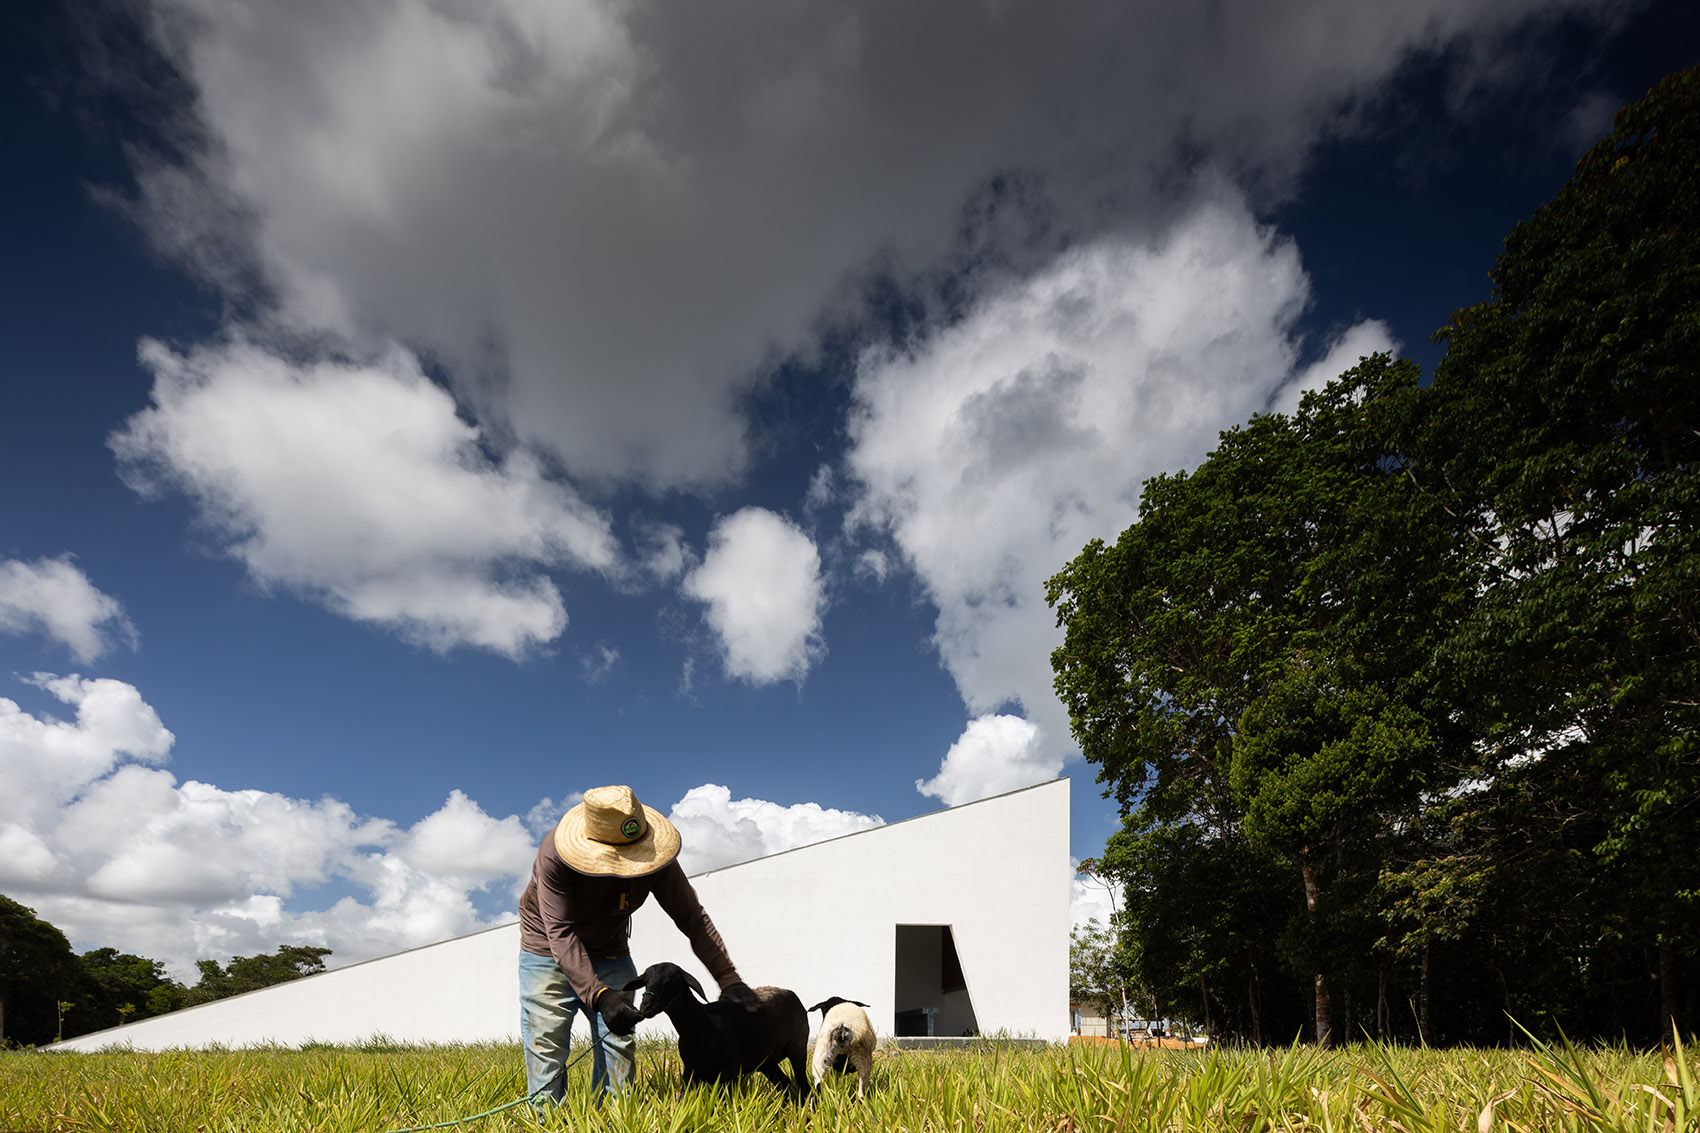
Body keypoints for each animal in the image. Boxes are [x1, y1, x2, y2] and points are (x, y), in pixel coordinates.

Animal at [629, 959, 812, 1095]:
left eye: (669, 982)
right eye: (645, 982)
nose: (645, 1007)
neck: (701, 1025)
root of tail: (791, 994)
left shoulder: (729, 1072)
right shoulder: (690, 1072)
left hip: (797, 1048)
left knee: (805, 1087)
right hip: (767, 1061)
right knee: (785, 1084)